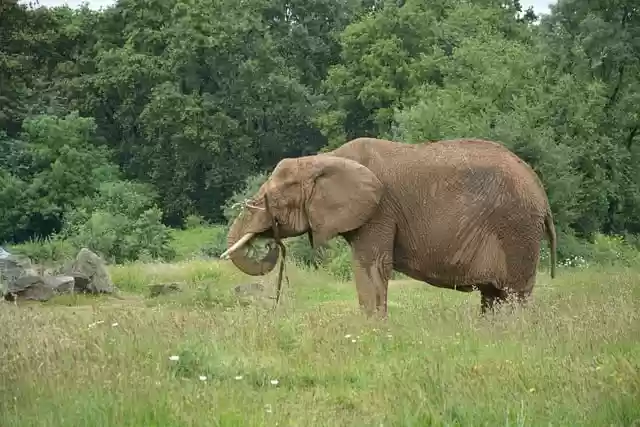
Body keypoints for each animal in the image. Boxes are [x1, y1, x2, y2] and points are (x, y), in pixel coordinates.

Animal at [221, 137, 557, 317]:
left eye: (272, 198)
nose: (269, 241)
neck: (326, 159)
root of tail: (542, 194)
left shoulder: (380, 211)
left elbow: (372, 267)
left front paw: (372, 331)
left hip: (517, 230)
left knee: (513, 295)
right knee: (493, 296)